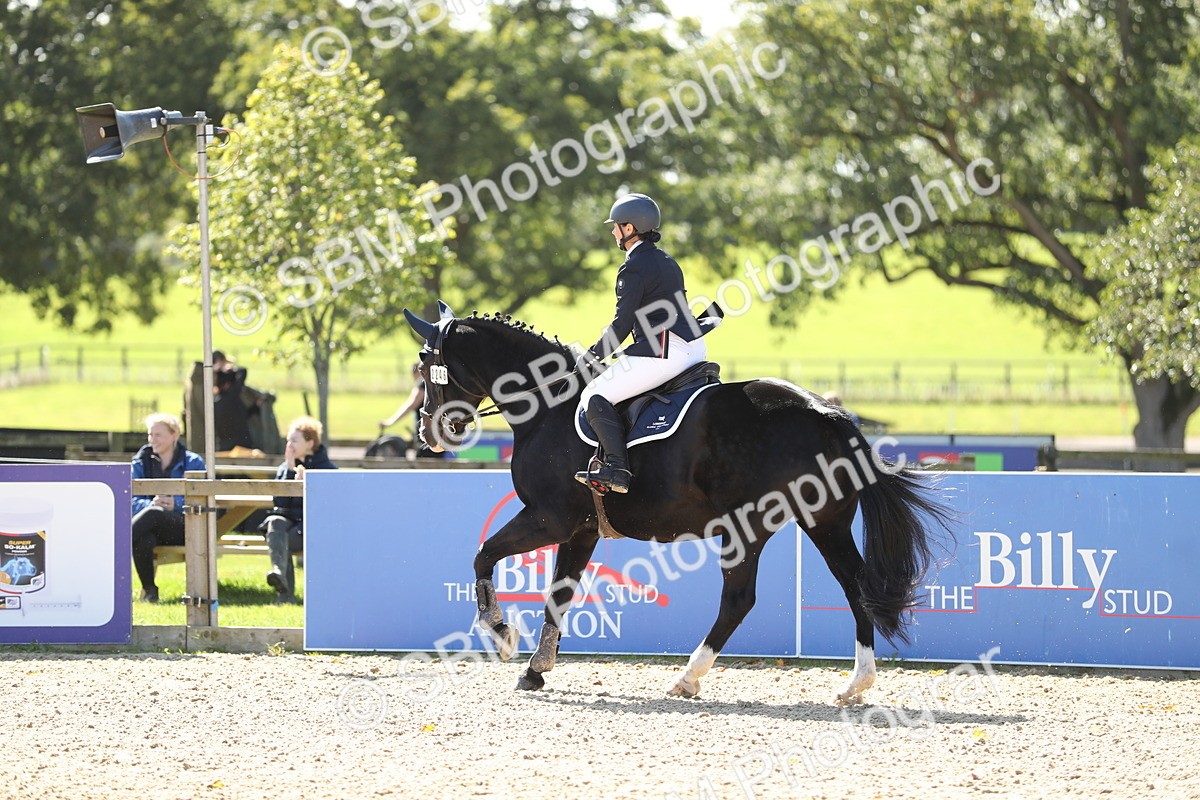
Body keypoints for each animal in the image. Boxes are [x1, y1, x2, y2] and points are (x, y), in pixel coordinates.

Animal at [404, 305, 950, 704]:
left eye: (425, 365)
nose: (430, 432)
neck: (548, 405)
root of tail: (826, 411)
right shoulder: (580, 530)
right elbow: (558, 596)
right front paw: (537, 671)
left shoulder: (549, 518)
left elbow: (484, 556)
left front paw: (501, 634)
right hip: (823, 521)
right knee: (854, 585)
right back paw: (856, 683)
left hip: (748, 525)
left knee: (739, 600)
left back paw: (688, 677)